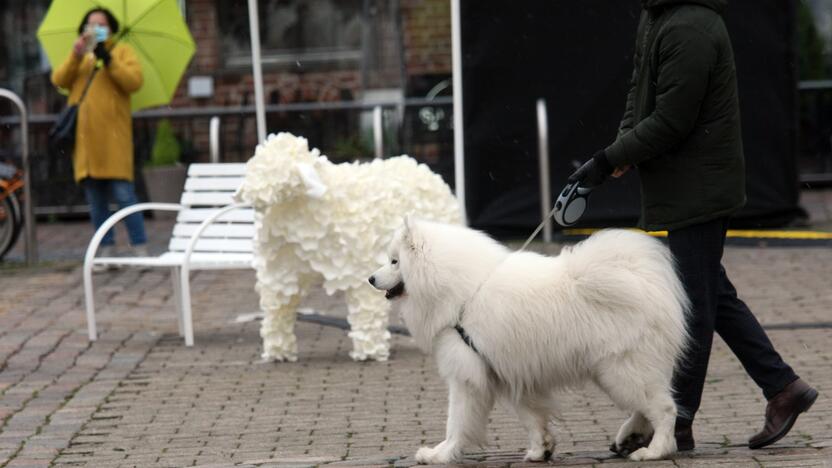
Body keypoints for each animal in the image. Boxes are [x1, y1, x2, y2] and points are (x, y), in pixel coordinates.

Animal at [370, 219, 688, 464]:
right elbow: (531, 417)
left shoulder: (466, 376)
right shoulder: (512, 372)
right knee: (647, 406)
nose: (371, 279)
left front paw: (439, 454)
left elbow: (456, 422)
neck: (463, 292)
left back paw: (654, 450)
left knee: (664, 409)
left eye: (395, 261)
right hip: (616, 372)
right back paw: (630, 436)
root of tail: (642, 278)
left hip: (620, 370)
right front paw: (540, 450)